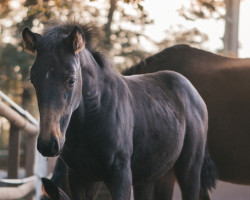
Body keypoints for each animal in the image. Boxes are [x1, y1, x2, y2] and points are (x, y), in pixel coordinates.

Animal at [22, 22, 216, 199]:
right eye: (33, 79)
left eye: (71, 80)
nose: (48, 144)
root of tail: (194, 94)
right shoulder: (79, 177)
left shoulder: (120, 176)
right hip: (156, 175)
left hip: (189, 169)